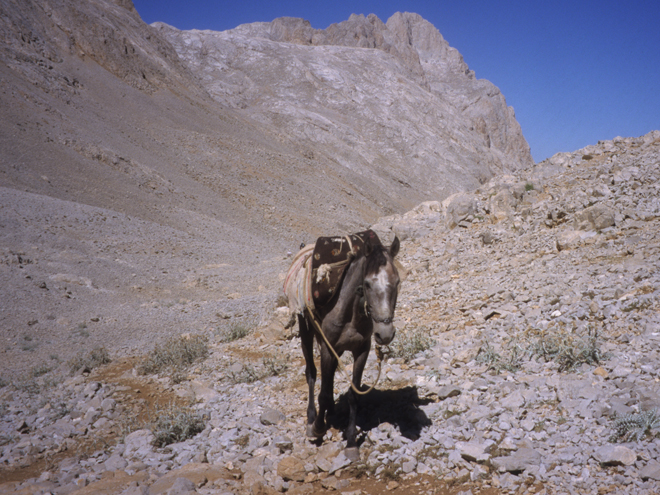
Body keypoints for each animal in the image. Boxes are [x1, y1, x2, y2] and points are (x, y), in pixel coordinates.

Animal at [282, 232, 400, 462]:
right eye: (367, 284)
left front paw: (352, 442)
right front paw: (318, 427)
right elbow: (324, 393)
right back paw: (312, 419)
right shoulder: (328, 349)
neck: (350, 313)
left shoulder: (361, 350)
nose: (385, 334)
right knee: (312, 374)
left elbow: (354, 394)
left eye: (397, 281)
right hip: (306, 332)